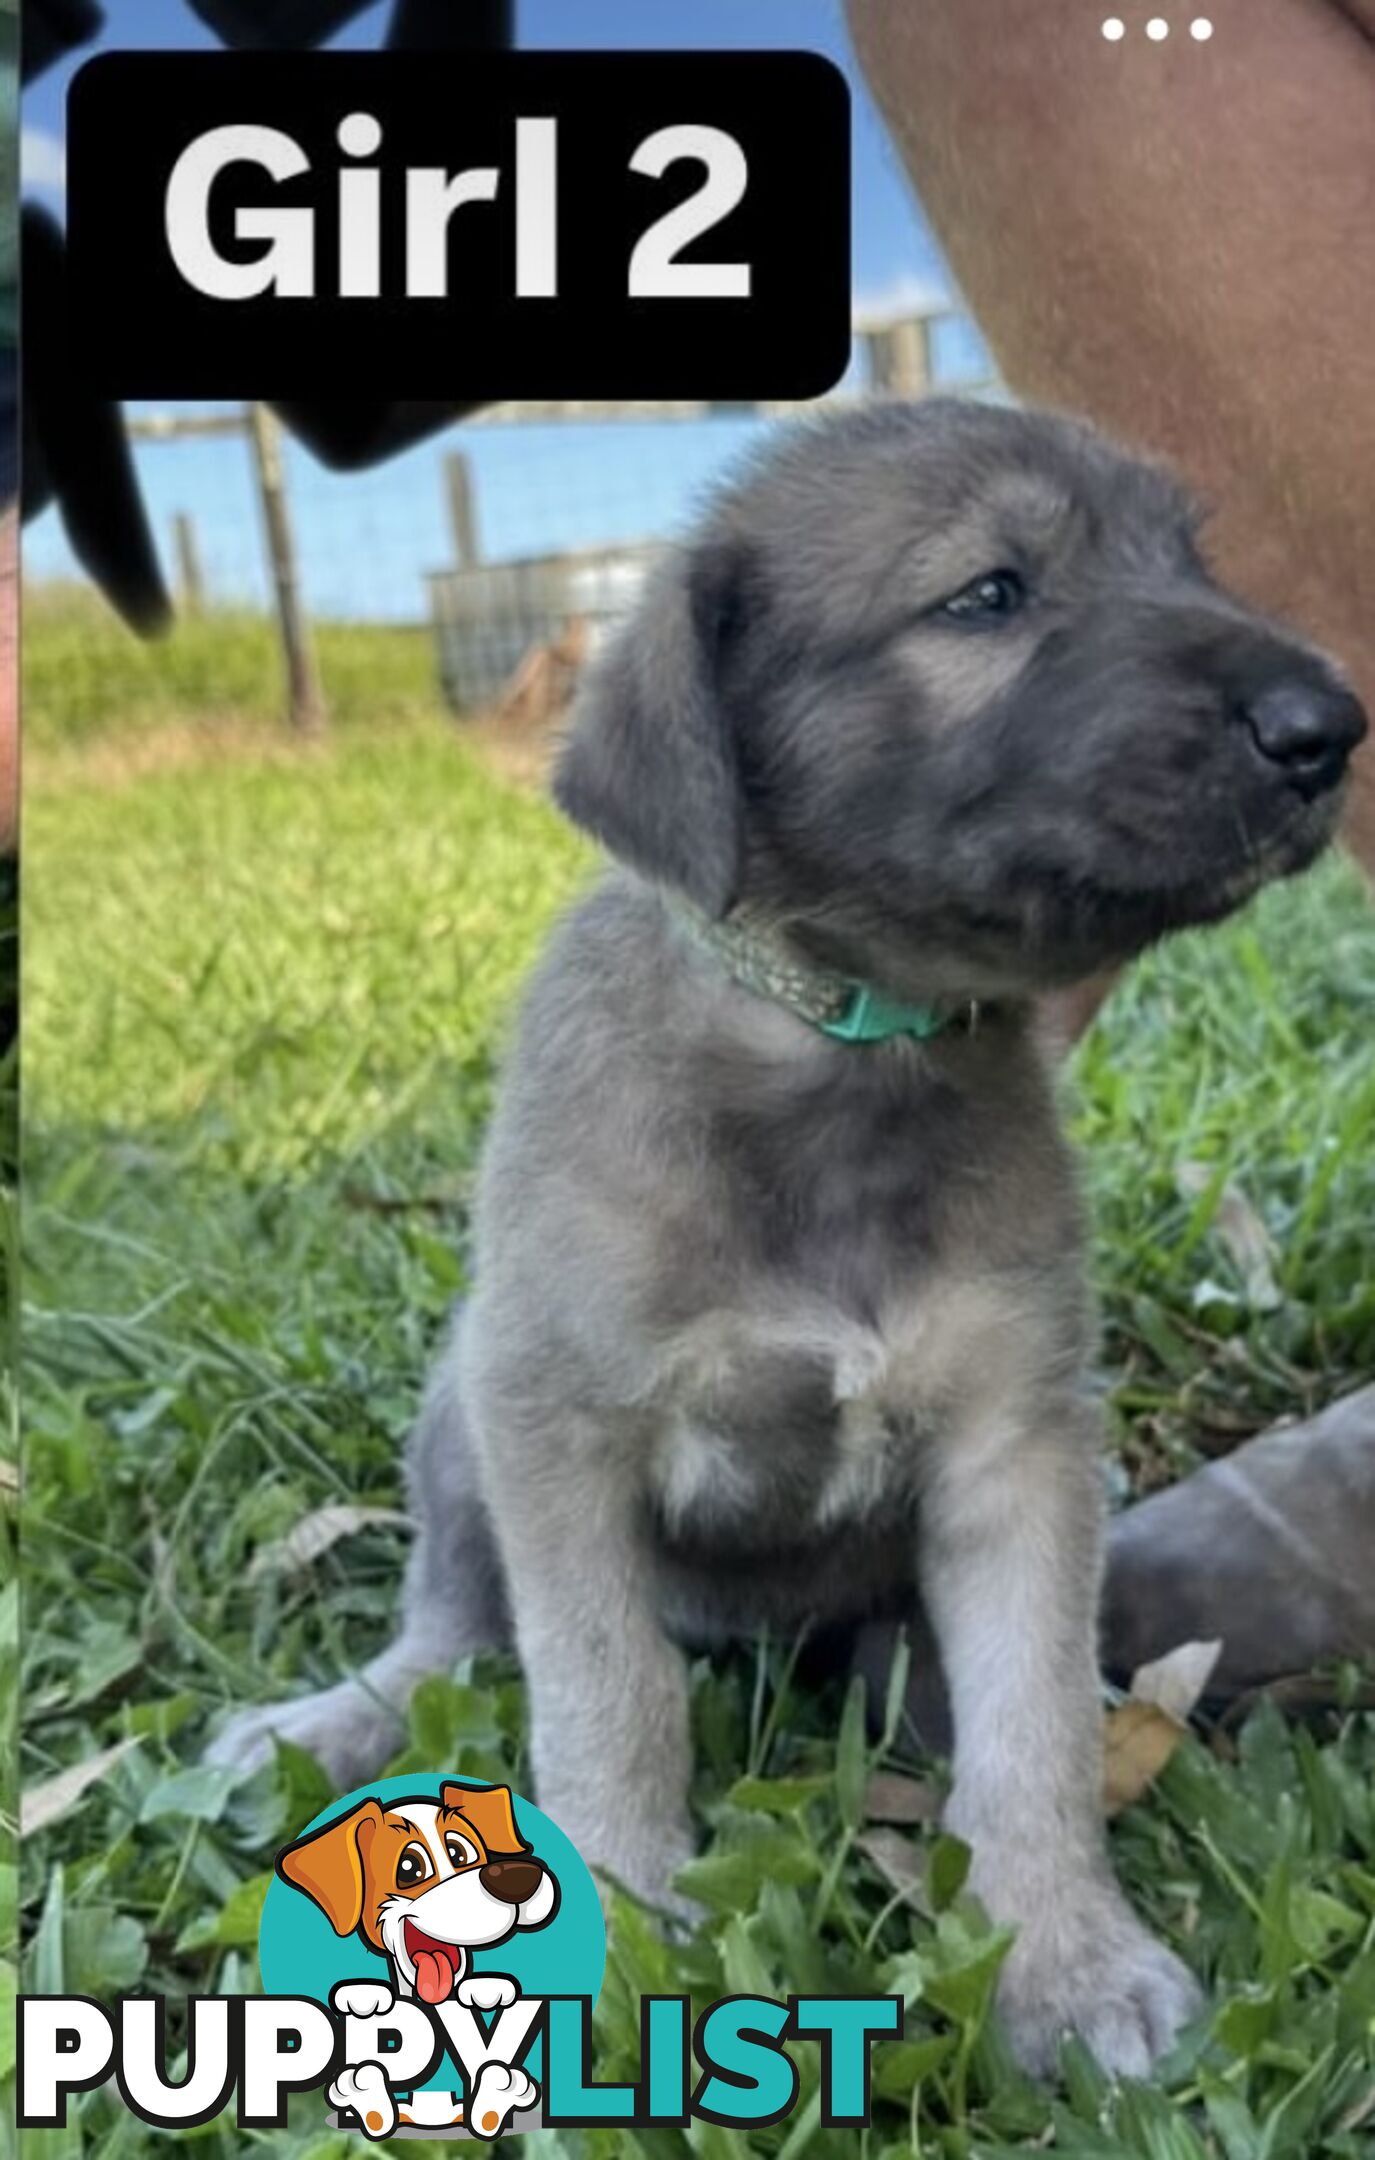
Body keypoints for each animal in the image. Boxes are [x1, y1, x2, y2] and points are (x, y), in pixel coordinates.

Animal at [214, 401, 1364, 2073]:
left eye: (1185, 560)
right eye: (987, 594)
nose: (1325, 723)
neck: (838, 1052)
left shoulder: (1017, 1448)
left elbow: (1032, 1725)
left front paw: (1062, 1957)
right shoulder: (556, 1429)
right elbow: (603, 1691)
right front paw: (617, 1928)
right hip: (460, 1406)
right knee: (451, 1626)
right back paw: (327, 1720)